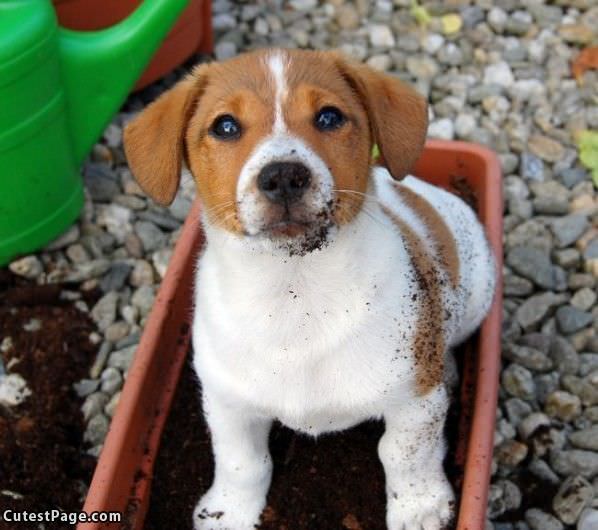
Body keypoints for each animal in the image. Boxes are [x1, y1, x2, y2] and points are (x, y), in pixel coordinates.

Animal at [125, 49, 496, 528]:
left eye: (329, 116)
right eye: (225, 126)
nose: (283, 176)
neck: (295, 295)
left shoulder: (415, 403)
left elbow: (403, 454)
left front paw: (420, 506)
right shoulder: (227, 402)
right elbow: (242, 463)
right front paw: (230, 510)